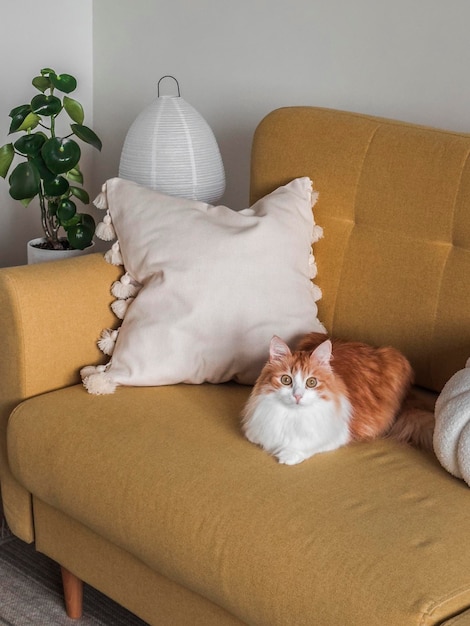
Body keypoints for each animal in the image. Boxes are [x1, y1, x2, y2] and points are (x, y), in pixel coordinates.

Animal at [242, 332, 434, 464]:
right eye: (286, 380)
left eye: (311, 382)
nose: (297, 396)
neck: (292, 416)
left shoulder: (338, 434)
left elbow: (307, 445)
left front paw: (288, 455)